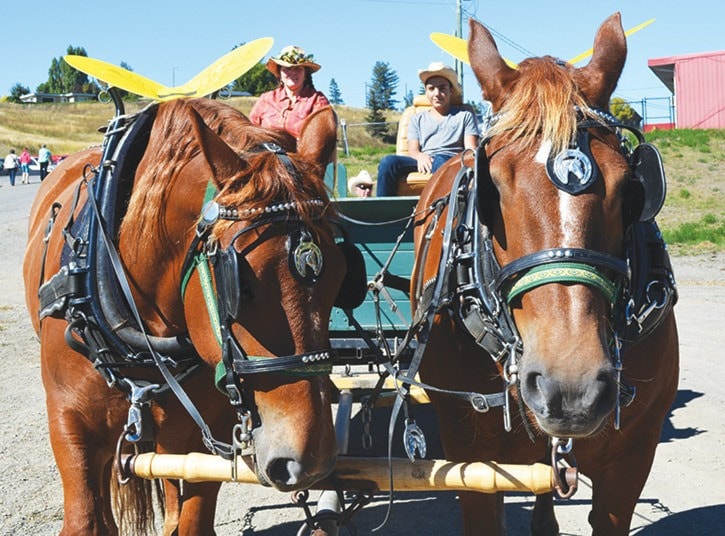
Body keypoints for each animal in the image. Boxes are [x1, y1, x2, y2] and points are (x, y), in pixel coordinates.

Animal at [22, 98, 350, 532]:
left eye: (341, 278)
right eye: (241, 286)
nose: (310, 461)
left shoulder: (198, 442)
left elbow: (189, 519)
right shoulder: (68, 425)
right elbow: (85, 520)